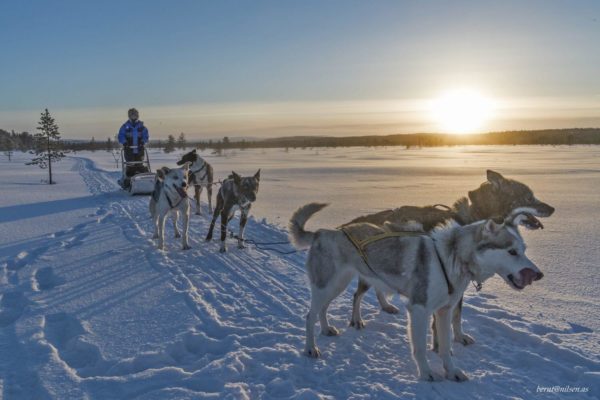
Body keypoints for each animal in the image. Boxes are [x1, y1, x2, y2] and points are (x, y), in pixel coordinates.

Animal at [290, 203, 544, 382]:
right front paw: (426, 373)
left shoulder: (443, 311)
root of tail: (323, 231)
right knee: (310, 315)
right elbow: (420, 347)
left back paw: (326, 329)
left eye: (523, 250)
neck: (451, 257)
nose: (538, 274)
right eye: (511, 252)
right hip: (327, 285)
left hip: (336, 285)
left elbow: (446, 345)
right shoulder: (419, 310)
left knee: (323, 309)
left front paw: (452, 371)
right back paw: (310, 348)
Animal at [344, 170, 556, 348]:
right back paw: (357, 320)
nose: (553, 208)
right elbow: (449, 318)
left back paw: (386, 306)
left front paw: (458, 337)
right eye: (528, 197)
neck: (473, 219)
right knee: (357, 295)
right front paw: (441, 345)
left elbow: (456, 316)